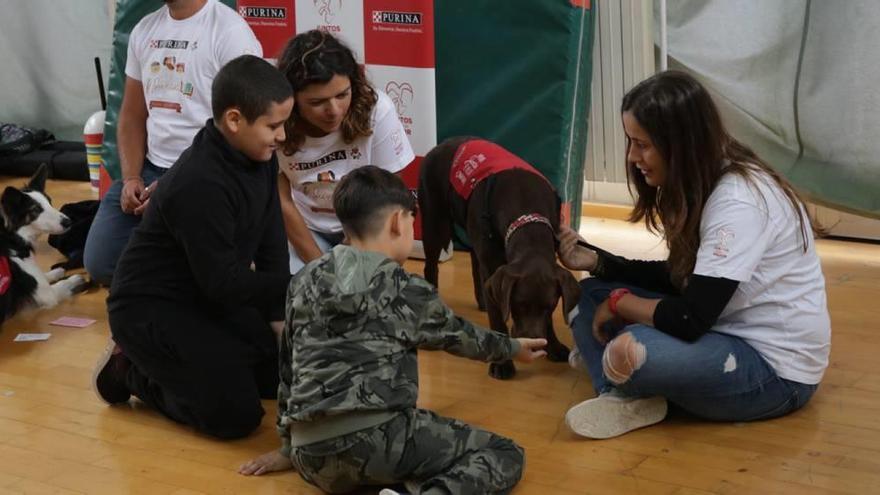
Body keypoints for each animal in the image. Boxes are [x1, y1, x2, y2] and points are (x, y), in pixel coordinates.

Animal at [0, 165, 86, 324]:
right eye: (36, 210)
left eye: (50, 202)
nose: (68, 222)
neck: (12, 237)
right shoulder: (47, 294)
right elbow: (62, 284)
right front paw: (75, 278)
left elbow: (43, 275)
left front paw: (55, 272)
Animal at [418, 136, 580, 380]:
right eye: (518, 304)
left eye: (550, 306)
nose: (534, 341)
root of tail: (441, 144)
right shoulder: (494, 267)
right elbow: (498, 318)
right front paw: (503, 363)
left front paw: (553, 345)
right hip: (434, 223)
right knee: (431, 268)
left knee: (476, 263)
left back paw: (483, 300)